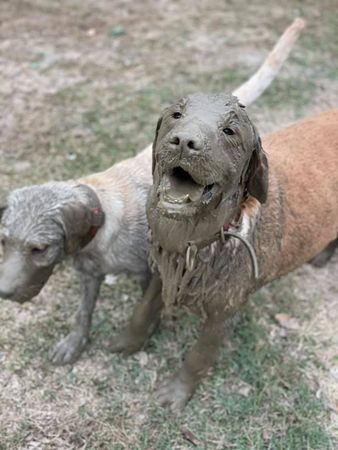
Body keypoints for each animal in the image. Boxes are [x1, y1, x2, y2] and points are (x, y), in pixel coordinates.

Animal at [111, 100, 338, 410]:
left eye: (230, 131)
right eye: (176, 115)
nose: (184, 141)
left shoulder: (224, 313)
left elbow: (198, 356)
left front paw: (177, 392)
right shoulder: (164, 272)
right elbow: (143, 309)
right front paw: (128, 341)